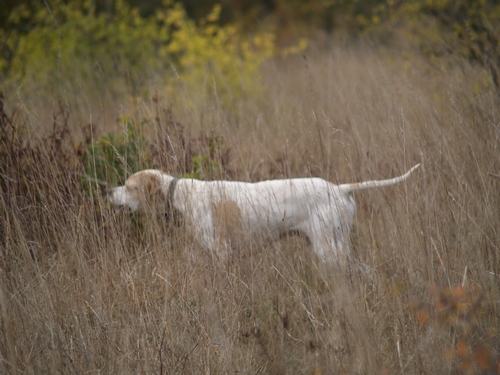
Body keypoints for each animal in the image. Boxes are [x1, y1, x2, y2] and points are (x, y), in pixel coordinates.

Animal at [107, 164, 420, 264]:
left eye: (129, 186)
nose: (108, 191)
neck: (179, 195)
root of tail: (340, 188)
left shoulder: (221, 255)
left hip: (329, 250)